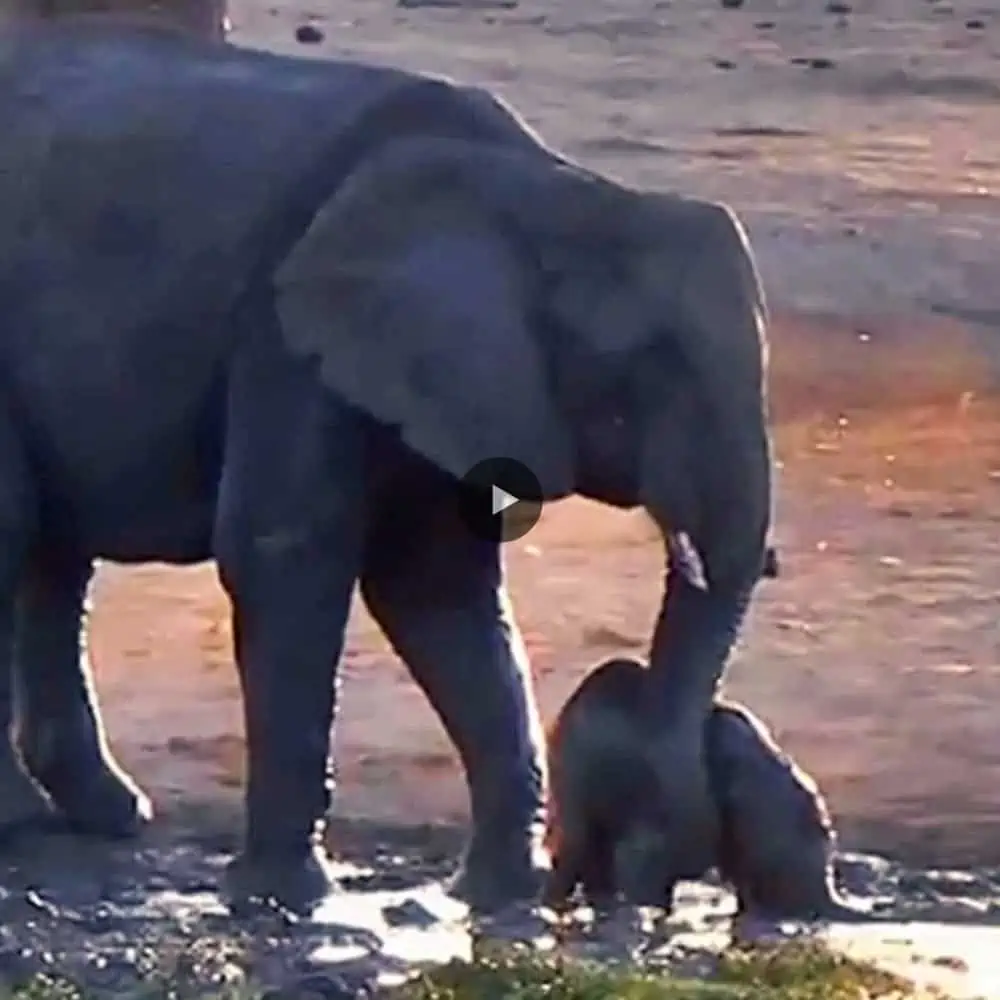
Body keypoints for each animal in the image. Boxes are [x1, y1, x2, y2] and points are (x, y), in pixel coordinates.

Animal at [0, 21, 773, 914]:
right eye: (646, 371)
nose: (648, 878)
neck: (548, 193)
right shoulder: (285, 337)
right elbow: (287, 556)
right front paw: (285, 904)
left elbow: (437, 589)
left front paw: (495, 903)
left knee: (51, 550)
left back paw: (107, 816)